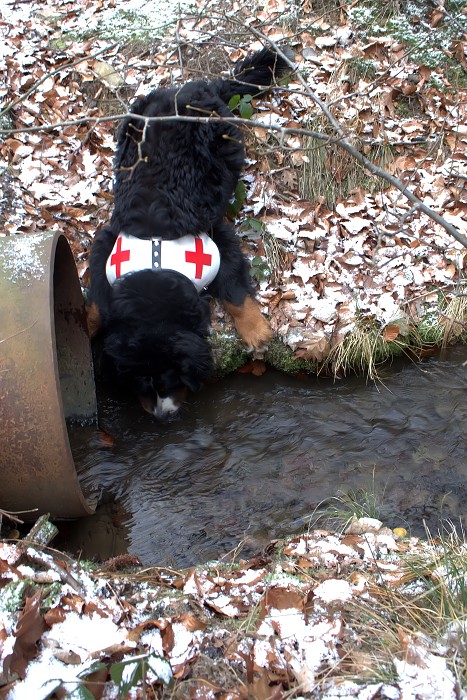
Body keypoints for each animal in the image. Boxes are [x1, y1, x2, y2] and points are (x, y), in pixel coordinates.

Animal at [88, 46, 292, 418]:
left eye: (171, 382)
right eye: (141, 386)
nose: (162, 416)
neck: (154, 271)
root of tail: (195, 87)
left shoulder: (217, 238)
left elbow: (234, 291)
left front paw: (255, 331)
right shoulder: (106, 241)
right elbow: (96, 301)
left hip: (226, 146)